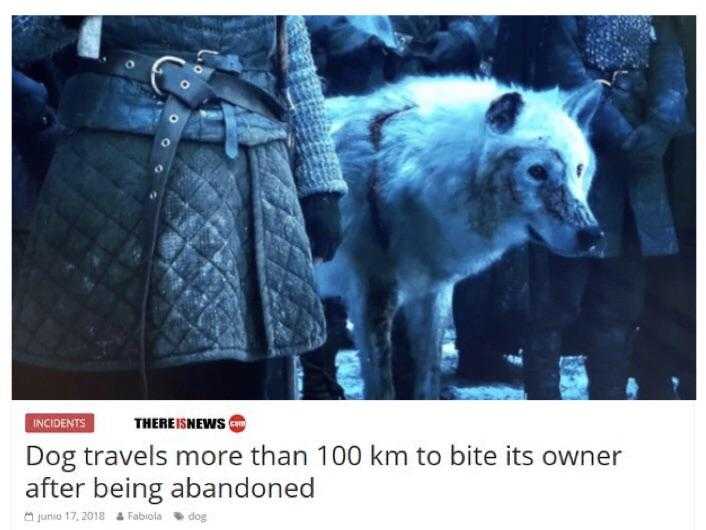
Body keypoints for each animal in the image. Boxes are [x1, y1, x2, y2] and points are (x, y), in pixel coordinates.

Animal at [316, 74, 604, 396]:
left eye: (578, 169)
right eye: (537, 171)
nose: (592, 235)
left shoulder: (432, 293)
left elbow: (428, 378)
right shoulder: (371, 295)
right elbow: (383, 389)